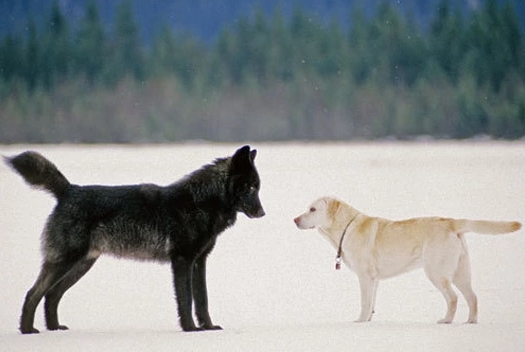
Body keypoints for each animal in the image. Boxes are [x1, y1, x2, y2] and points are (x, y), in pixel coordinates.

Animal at [6, 144, 264, 334]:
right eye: (250, 187)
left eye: (258, 187)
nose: (263, 213)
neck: (200, 202)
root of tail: (69, 189)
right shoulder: (182, 261)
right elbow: (186, 299)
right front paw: (190, 329)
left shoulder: (199, 262)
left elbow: (202, 299)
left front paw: (208, 327)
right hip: (66, 261)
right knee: (33, 293)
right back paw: (28, 331)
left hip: (82, 265)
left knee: (51, 295)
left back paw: (54, 328)